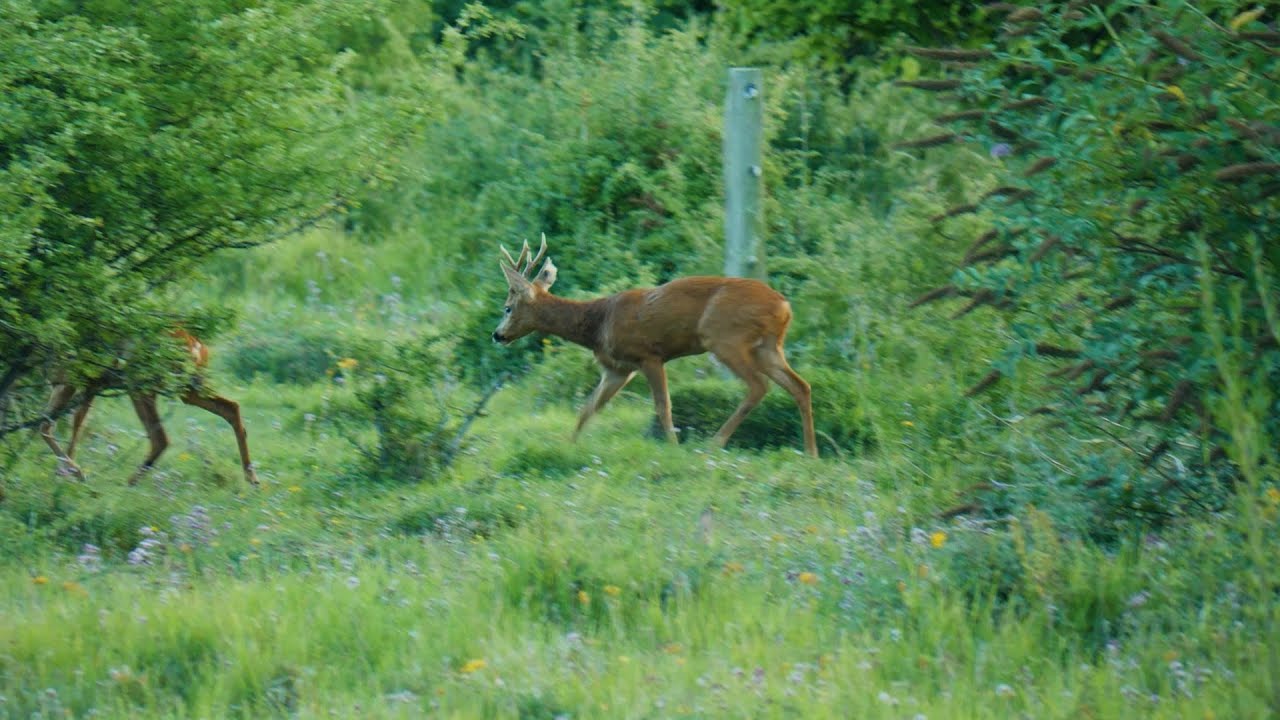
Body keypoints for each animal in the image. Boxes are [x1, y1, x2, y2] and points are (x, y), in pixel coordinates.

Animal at [39, 329, 259, 486]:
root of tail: (200, 348)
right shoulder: (88, 385)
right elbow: (76, 424)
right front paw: (67, 474)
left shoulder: (71, 379)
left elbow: (47, 426)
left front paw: (74, 472)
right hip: (186, 387)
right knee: (231, 407)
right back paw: (252, 477)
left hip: (143, 384)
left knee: (160, 438)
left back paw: (128, 483)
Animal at [491, 236, 818, 457]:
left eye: (507, 307)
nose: (497, 335)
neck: (598, 325)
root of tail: (784, 306)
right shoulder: (617, 370)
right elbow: (588, 408)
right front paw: (568, 446)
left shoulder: (648, 355)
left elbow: (663, 406)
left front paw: (673, 449)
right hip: (767, 346)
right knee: (800, 385)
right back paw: (810, 453)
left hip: (725, 338)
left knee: (758, 386)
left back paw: (714, 444)